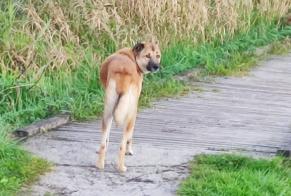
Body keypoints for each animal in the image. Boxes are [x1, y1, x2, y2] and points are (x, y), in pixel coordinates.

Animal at [97, 41, 162, 172]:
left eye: (157, 55)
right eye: (147, 56)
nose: (156, 67)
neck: (133, 56)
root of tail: (122, 71)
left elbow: (107, 139)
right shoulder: (134, 110)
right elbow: (130, 137)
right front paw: (130, 151)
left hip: (108, 111)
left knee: (103, 143)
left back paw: (100, 165)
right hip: (130, 113)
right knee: (122, 144)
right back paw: (121, 168)